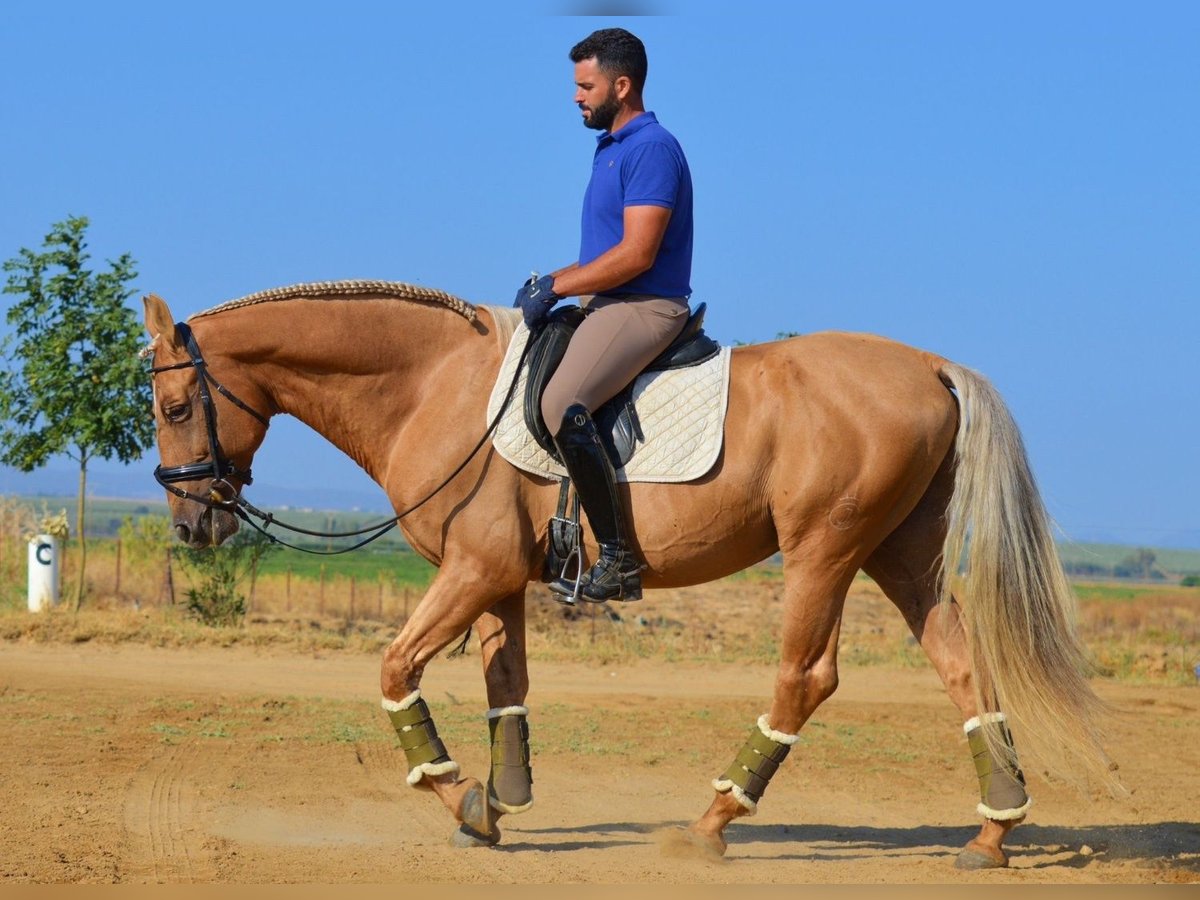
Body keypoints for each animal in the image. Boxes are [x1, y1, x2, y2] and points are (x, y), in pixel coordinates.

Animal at [142, 280, 1113, 868]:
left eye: (177, 404)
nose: (193, 525)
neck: (433, 387)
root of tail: (930, 368)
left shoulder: (472, 568)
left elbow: (393, 669)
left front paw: (460, 799)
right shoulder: (495, 576)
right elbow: (505, 686)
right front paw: (501, 801)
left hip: (825, 551)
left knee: (807, 676)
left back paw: (712, 825)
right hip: (901, 552)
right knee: (961, 665)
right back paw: (993, 831)